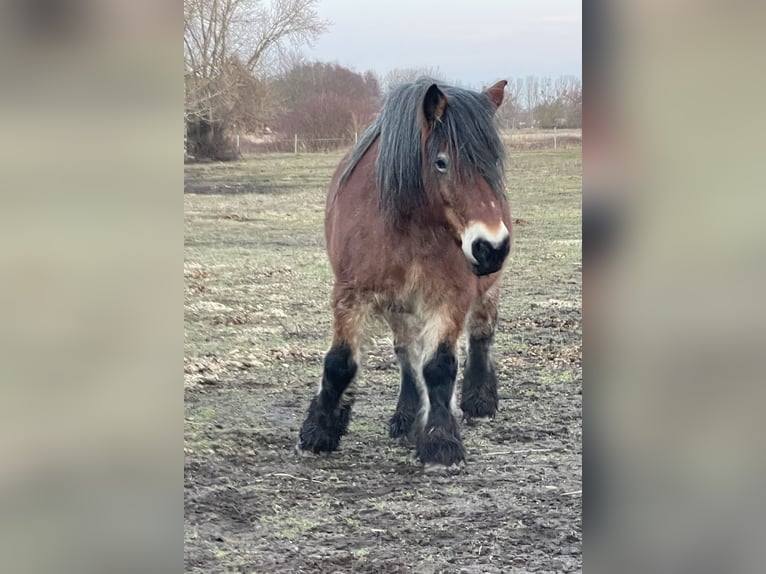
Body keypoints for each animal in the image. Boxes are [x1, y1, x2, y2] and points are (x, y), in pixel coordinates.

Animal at [302, 76, 516, 468]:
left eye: (493, 160)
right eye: (441, 162)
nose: (491, 247)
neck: (407, 225)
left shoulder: (449, 296)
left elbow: (440, 367)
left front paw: (440, 441)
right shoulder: (352, 294)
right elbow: (341, 362)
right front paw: (319, 431)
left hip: (486, 291)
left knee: (481, 335)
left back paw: (479, 401)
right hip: (398, 306)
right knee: (407, 354)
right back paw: (406, 416)